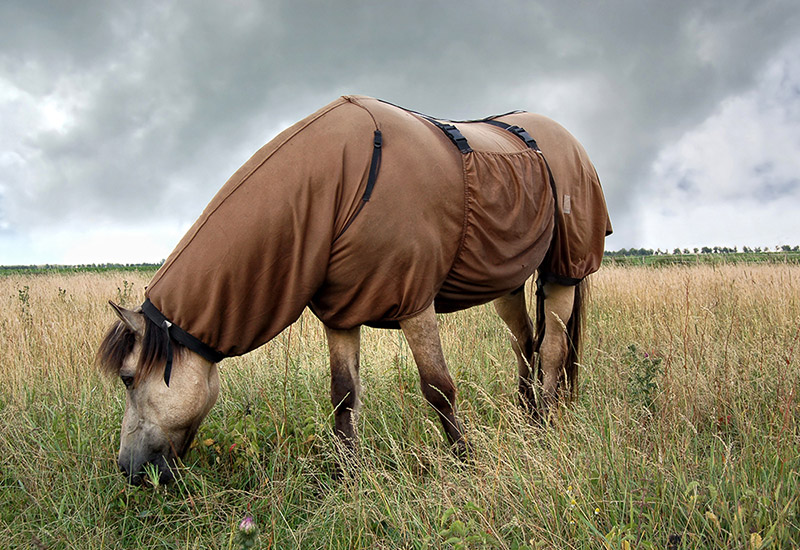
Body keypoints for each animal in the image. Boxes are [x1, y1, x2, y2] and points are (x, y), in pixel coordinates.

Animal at [97, 97, 608, 486]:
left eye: (126, 378)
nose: (128, 469)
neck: (345, 182)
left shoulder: (414, 302)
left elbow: (438, 389)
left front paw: (466, 462)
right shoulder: (343, 313)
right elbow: (344, 396)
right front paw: (347, 478)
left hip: (563, 273)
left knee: (553, 349)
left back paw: (545, 423)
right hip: (506, 281)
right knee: (525, 341)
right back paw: (525, 415)